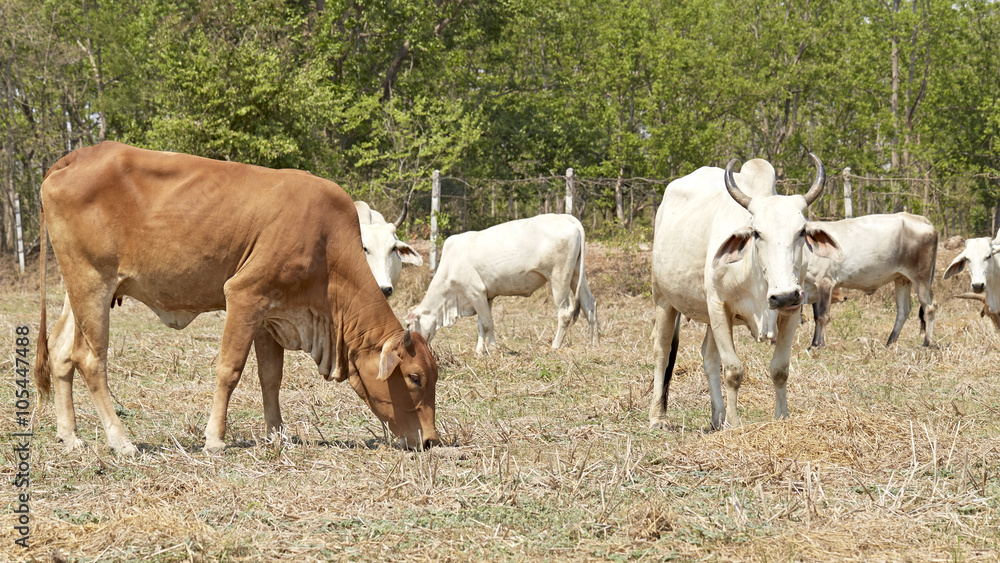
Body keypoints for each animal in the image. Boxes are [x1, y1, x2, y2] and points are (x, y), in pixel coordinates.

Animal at [34, 143, 438, 456]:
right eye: (415, 377)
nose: (431, 440)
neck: (328, 246)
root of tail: (74, 158)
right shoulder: (244, 296)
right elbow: (229, 370)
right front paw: (215, 439)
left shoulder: (270, 314)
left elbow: (270, 378)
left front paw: (278, 436)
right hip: (93, 283)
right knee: (90, 359)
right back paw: (121, 441)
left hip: (78, 288)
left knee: (61, 351)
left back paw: (70, 438)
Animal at [404, 214, 592, 354]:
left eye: (408, 325)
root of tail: (566, 217)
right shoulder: (485, 296)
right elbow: (482, 324)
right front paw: (480, 351)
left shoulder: (475, 292)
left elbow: (488, 324)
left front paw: (493, 349)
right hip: (577, 275)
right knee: (589, 305)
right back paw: (594, 344)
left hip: (559, 277)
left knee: (565, 312)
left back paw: (555, 345)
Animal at [648, 154, 844, 432]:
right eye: (757, 233)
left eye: (801, 232)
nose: (784, 296)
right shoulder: (718, 306)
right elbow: (732, 370)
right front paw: (735, 423)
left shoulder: (793, 312)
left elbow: (780, 369)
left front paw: (781, 418)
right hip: (664, 298)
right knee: (662, 350)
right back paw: (658, 417)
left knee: (708, 356)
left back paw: (717, 417)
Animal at [804, 214, 936, 350]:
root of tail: (921, 219)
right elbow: (815, 315)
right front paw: (813, 344)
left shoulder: (825, 282)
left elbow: (822, 315)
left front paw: (818, 345)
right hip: (902, 279)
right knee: (903, 310)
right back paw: (890, 342)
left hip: (921, 278)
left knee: (930, 307)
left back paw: (927, 343)